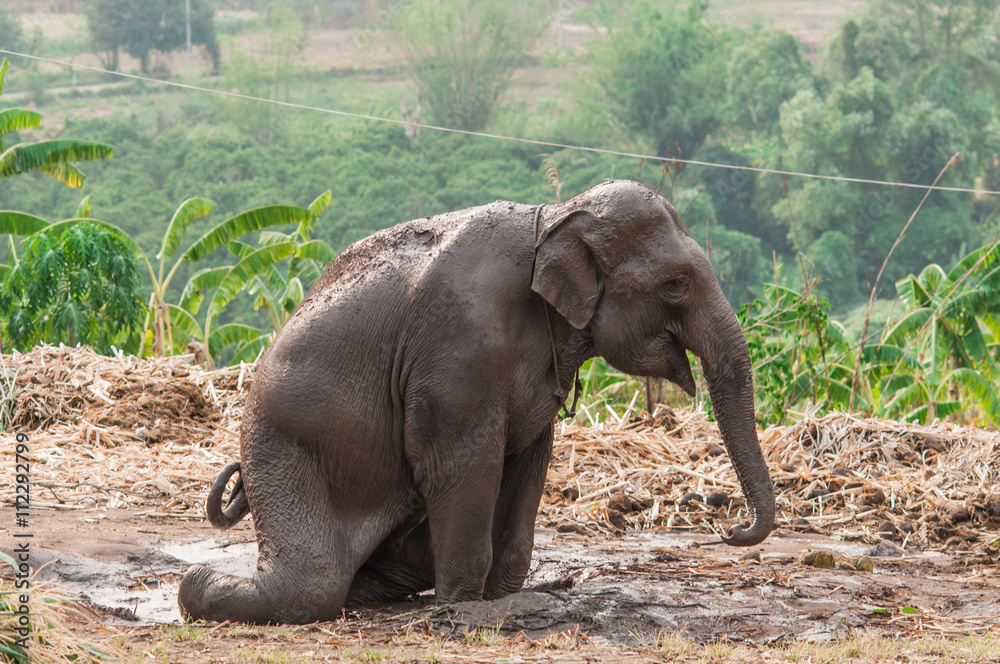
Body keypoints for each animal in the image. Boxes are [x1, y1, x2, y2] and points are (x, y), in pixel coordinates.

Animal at [178, 179, 774, 624]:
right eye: (675, 285)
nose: (730, 529)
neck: (552, 218)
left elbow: (528, 459)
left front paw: (502, 597)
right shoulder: (461, 347)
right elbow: (464, 463)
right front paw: (464, 606)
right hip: (283, 443)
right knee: (309, 585)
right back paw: (193, 586)